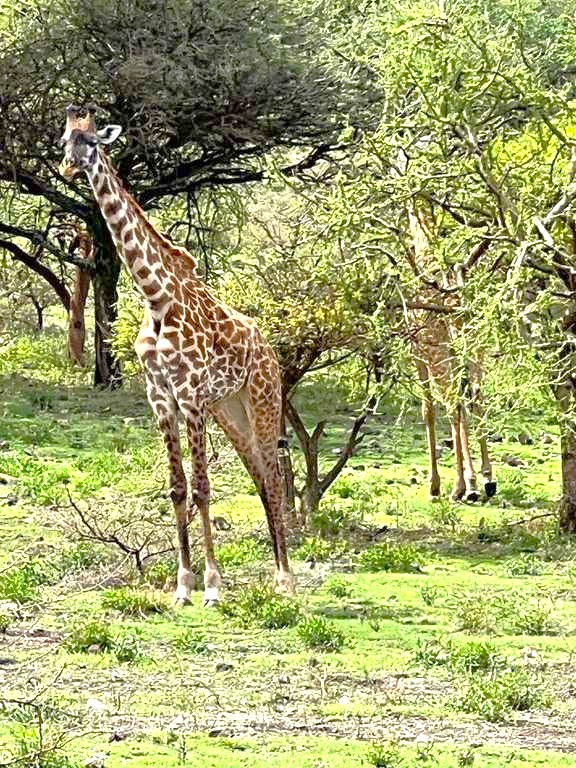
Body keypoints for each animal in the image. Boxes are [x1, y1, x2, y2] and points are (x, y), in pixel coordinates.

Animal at [58, 105, 293, 606]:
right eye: (65, 140)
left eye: (92, 142)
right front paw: (183, 585)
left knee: (272, 473)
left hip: (263, 400)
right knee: (258, 474)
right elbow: (177, 487)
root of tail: (267, 348)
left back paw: (285, 578)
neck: (155, 297)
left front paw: (212, 586)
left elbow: (203, 487)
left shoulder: (190, 395)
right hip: (230, 409)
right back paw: (276, 573)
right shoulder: (160, 396)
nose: (68, 168)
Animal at [406, 202, 496, 502]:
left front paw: (435, 485)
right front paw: (477, 478)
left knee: (453, 403)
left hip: (442, 356)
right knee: (476, 397)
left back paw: (460, 487)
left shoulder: (419, 353)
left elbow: (428, 410)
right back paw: (486, 481)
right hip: (475, 352)